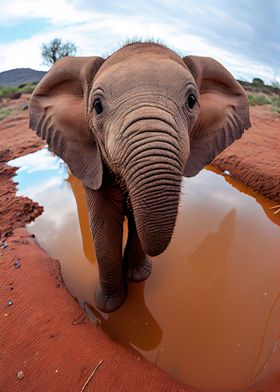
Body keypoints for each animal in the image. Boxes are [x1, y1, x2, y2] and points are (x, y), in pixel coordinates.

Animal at [29, 42, 250, 312]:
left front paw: (137, 277)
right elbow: (104, 225)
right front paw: (109, 306)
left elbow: (137, 221)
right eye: (97, 106)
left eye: (191, 100)